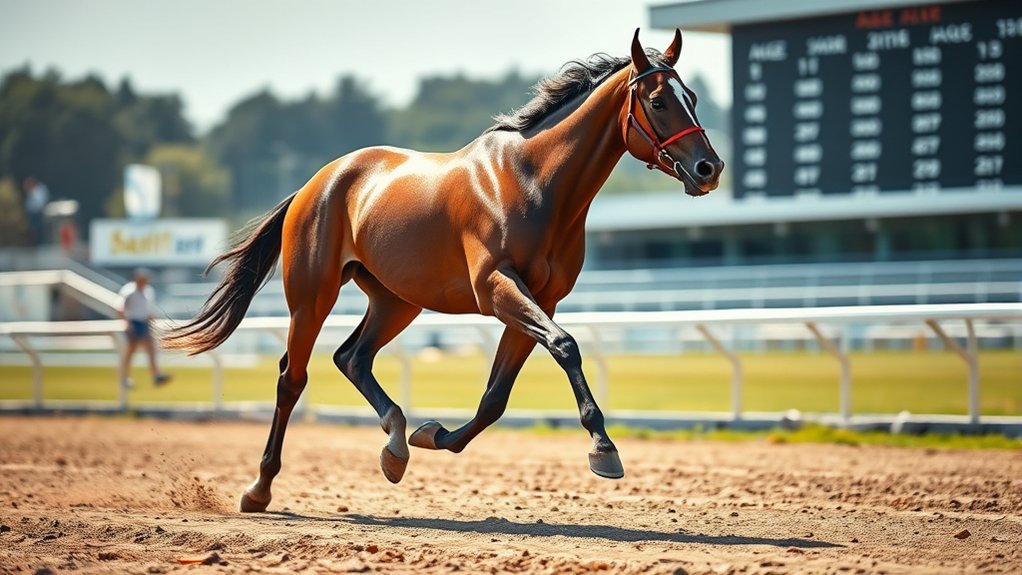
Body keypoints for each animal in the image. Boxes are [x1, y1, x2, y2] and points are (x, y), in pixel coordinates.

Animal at [164, 29, 723, 512]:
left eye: (693, 96)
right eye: (659, 100)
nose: (709, 169)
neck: (533, 182)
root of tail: (315, 183)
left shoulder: (538, 299)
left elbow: (496, 397)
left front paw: (432, 435)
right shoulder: (497, 287)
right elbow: (565, 346)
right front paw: (604, 448)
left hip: (397, 300)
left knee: (352, 357)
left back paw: (396, 443)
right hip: (311, 297)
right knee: (291, 378)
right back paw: (259, 488)